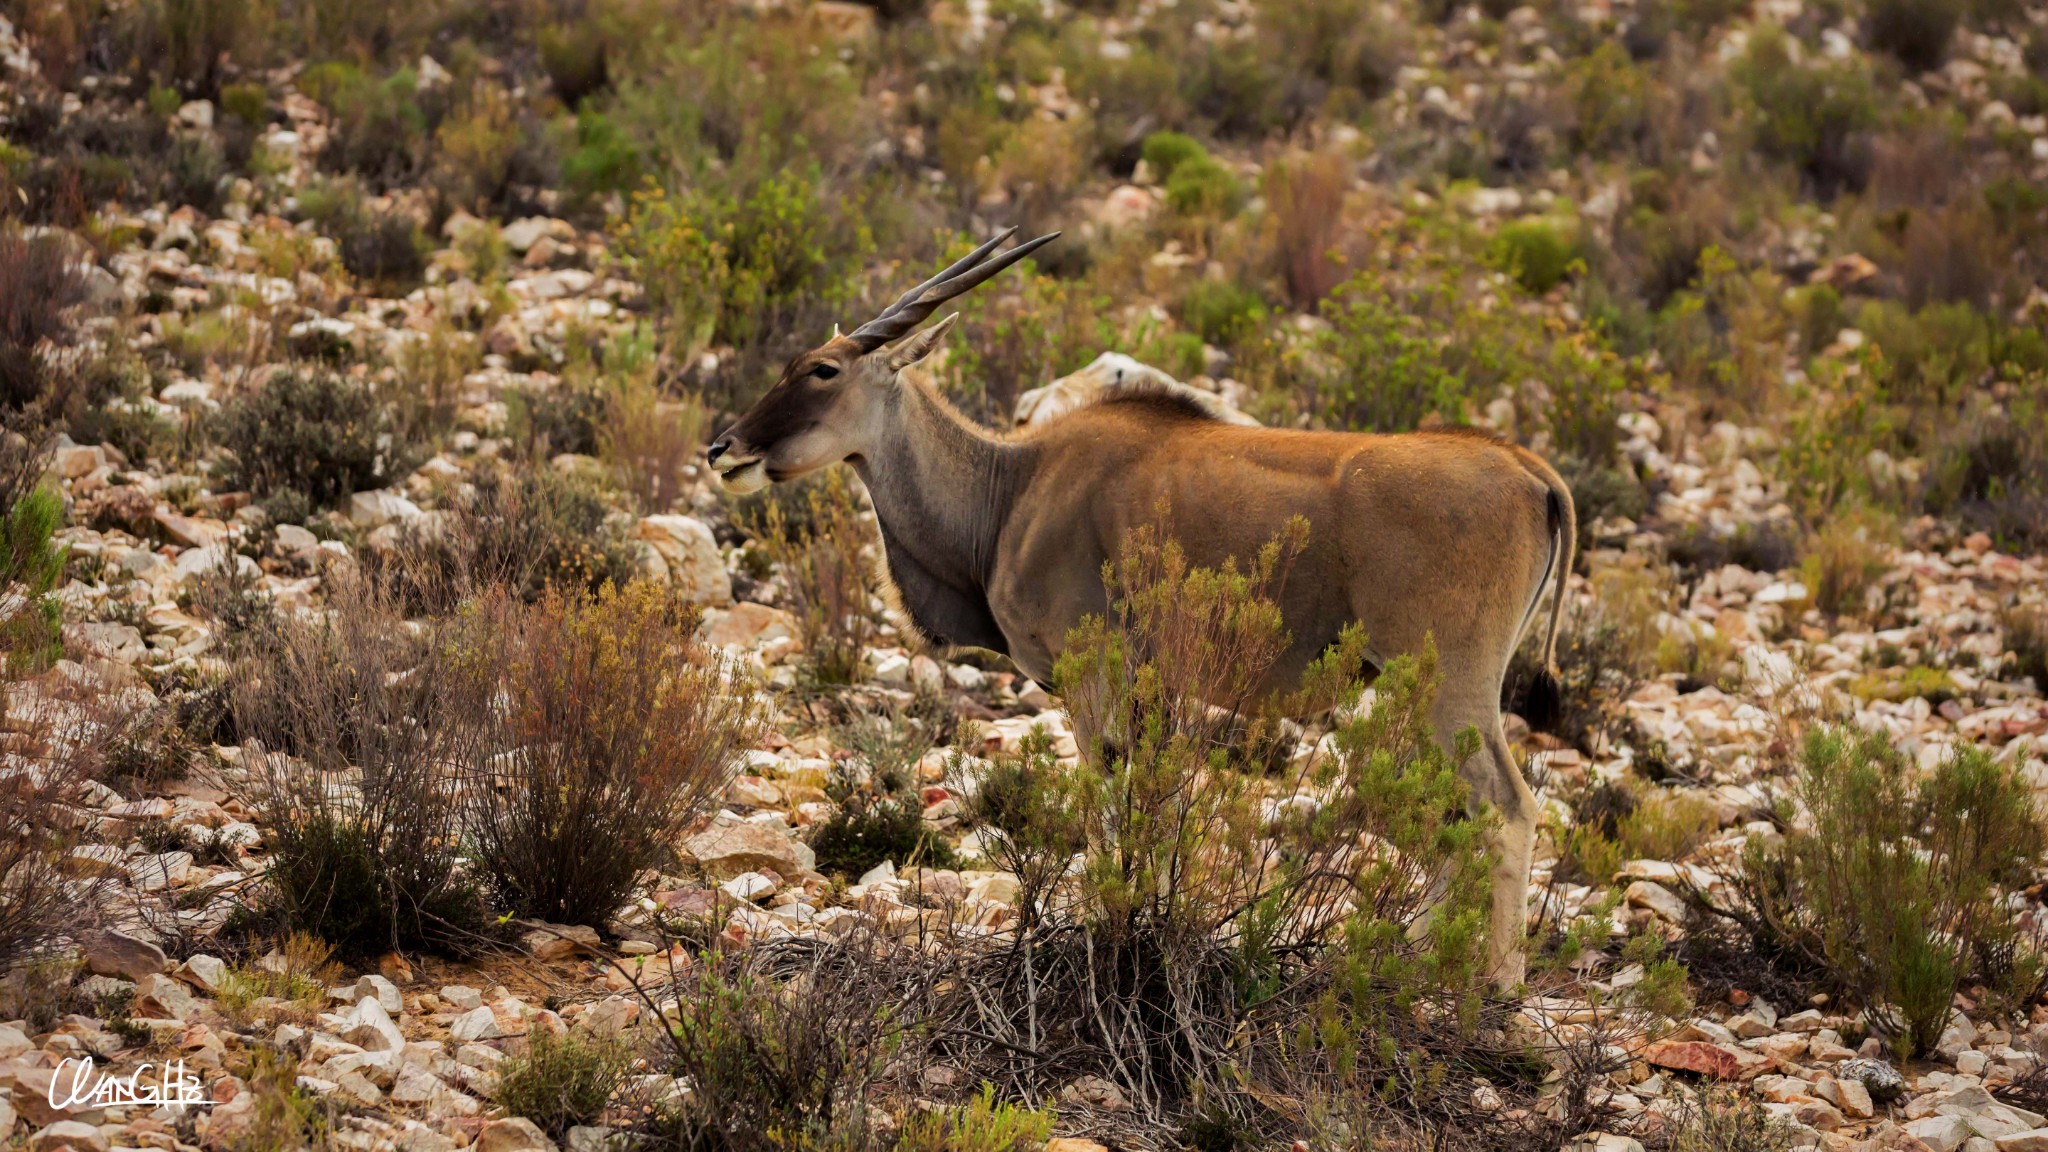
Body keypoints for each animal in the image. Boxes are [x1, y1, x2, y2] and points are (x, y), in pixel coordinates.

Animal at [712, 226, 1572, 975]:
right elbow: (1149, 815)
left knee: (1507, 810)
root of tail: (1530, 471)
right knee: (1465, 815)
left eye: (823, 370)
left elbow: (1107, 809)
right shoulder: (1152, 691)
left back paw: (1495, 989)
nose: (725, 448)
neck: (1009, 489)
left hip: (1450, 686)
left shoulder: (1092, 678)